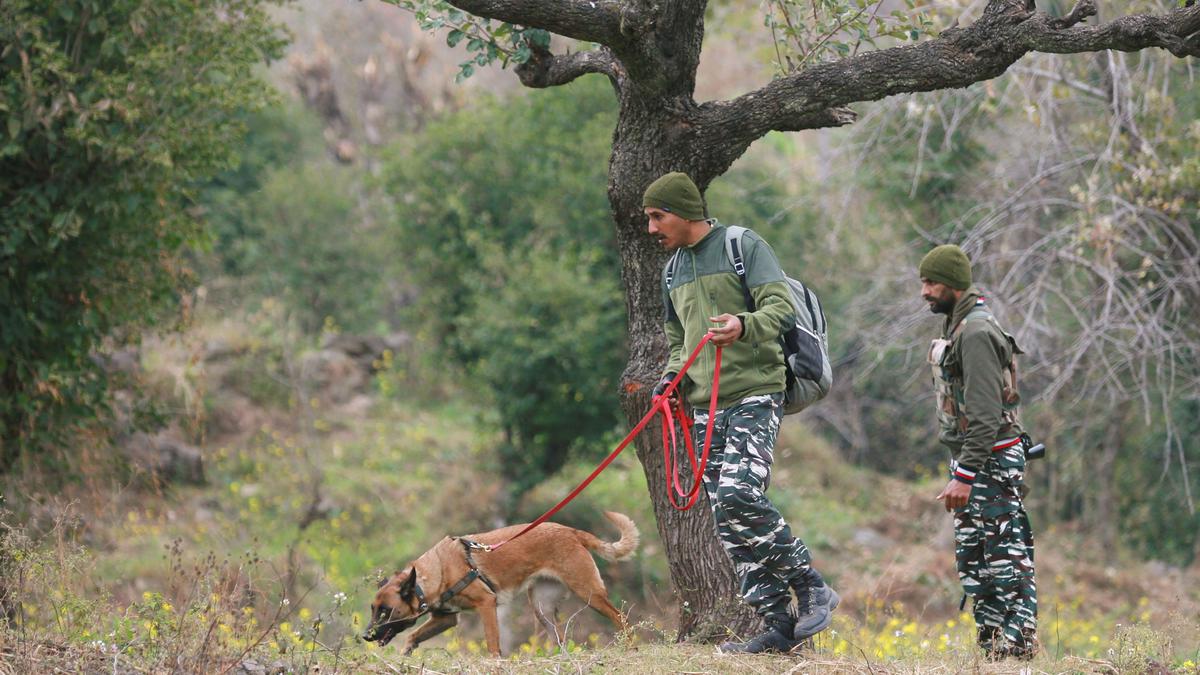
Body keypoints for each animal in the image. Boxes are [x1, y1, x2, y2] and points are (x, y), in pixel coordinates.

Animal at [362, 509, 638, 653]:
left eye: (386, 612)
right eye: (373, 609)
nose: (365, 636)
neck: (435, 573)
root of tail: (571, 532)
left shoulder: (486, 604)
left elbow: (493, 645)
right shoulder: (446, 619)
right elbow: (412, 636)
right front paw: (405, 654)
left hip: (589, 593)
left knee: (621, 618)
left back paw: (630, 648)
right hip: (542, 609)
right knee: (560, 639)